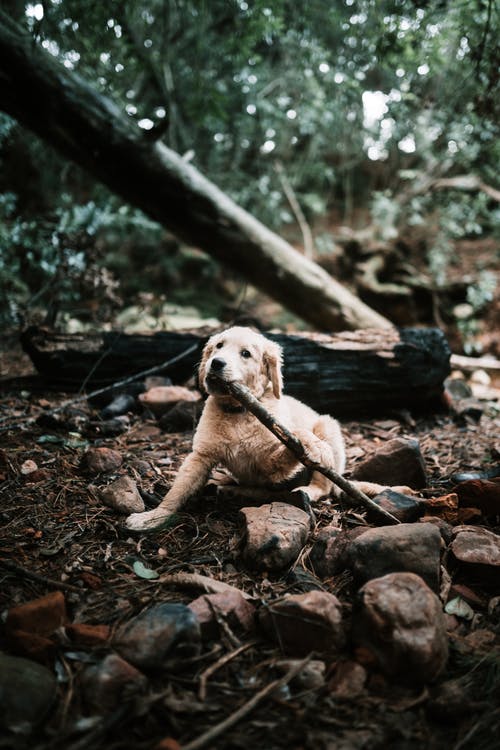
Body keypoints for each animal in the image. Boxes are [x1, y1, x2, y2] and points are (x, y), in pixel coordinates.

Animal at [125, 326, 346, 532]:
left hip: (328, 426)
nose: (216, 363)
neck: (238, 412)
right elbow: (178, 489)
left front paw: (314, 445)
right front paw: (155, 516)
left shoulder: (270, 467)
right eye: (219, 346)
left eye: (246, 353)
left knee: (325, 485)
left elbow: (294, 437)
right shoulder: (201, 455)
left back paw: (309, 489)